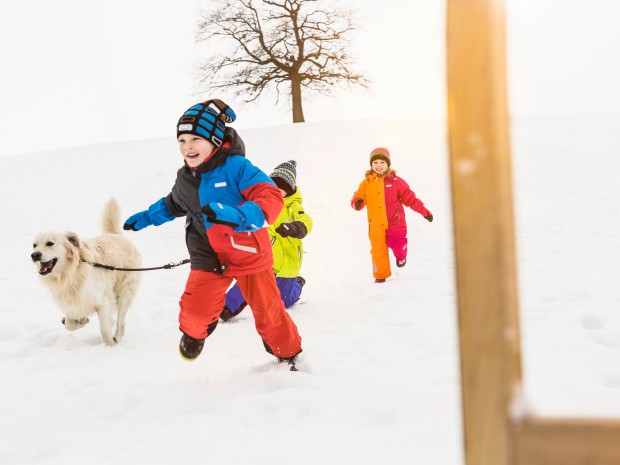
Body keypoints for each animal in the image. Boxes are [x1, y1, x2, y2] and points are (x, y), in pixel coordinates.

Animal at [31, 196, 142, 344]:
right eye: (34, 245)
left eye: (50, 243)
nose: (34, 255)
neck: (71, 272)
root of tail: (116, 235)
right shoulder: (72, 302)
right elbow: (69, 325)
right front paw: (81, 320)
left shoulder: (102, 301)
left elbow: (104, 329)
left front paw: (110, 345)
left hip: (125, 290)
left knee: (121, 320)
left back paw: (117, 337)